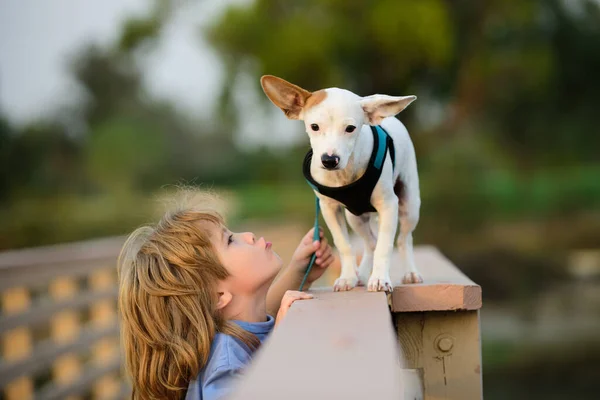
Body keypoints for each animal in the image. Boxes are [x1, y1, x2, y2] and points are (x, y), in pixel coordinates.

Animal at [260, 75, 424, 290]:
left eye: (350, 129)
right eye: (314, 127)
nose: (329, 160)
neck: (343, 175)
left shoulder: (388, 205)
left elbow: (385, 245)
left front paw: (380, 278)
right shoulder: (329, 209)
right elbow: (344, 245)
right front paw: (348, 277)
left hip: (409, 206)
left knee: (404, 239)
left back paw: (410, 273)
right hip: (354, 217)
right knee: (370, 243)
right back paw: (361, 275)